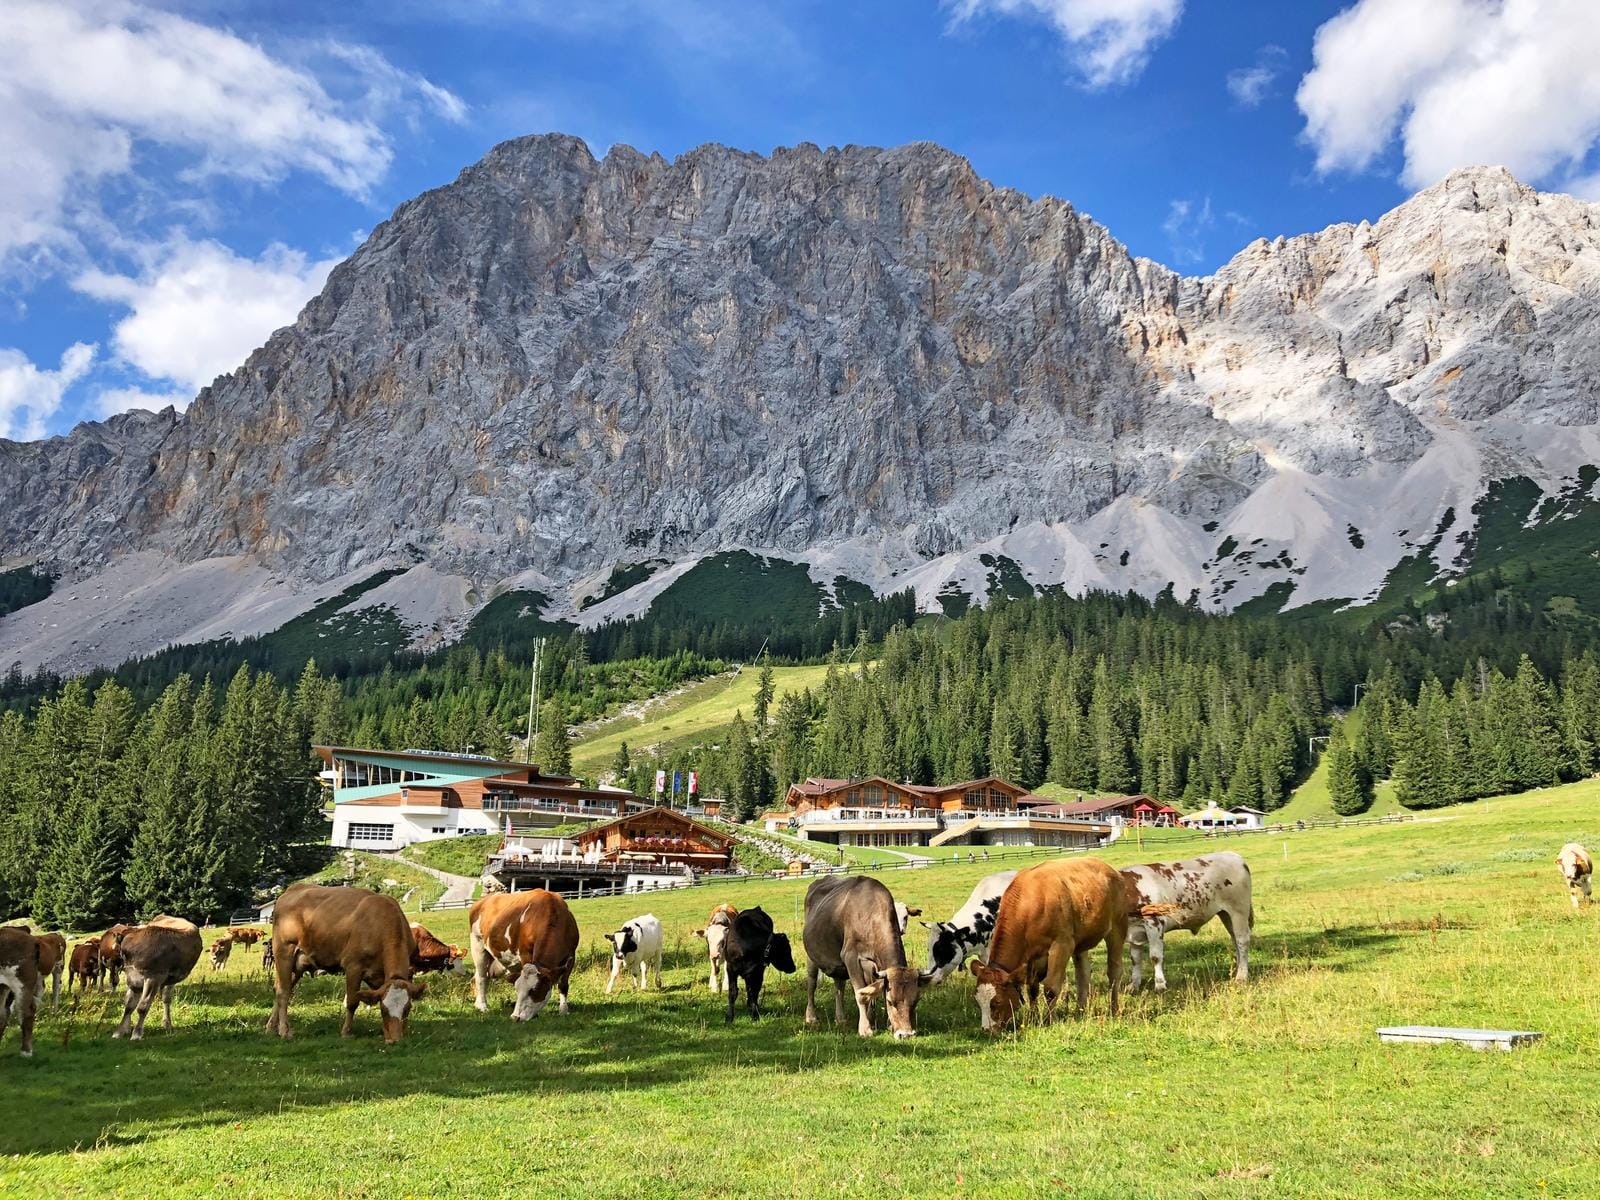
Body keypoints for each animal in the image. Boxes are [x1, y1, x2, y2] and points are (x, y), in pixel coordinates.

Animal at [266, 884, 426, 1043]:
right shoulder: (353, 966)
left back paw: (271, 1027)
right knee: (283, 991)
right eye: (384, 1010)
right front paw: (346, 1032)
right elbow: (352, 1002)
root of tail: (293, 889)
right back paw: (284, 1030)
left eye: (407, 1009)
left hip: (298, 964)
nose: (395, 1040)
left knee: (280, 988)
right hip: (284, 953)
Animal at [469, 890, 579, 1020]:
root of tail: (482, 901)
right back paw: (482, 1006)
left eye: (534, 990)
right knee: (481, 977)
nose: (515, 1017)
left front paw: (563, 1010)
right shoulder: (524, 954)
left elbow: (563, 985)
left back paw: (477, 1004)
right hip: (478, 945)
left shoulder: (571, 955)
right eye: (517, 989)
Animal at [803, 876, 929, 1039]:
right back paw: (811, 1017)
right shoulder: (851, 957)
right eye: (890, 1001)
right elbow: (861, 994)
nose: (906, 1034)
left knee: (839, 987)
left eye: (916, 1000)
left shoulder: (874, 967)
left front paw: (880, 1023)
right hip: (812, 956)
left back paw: (841, 1018)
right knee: (812, 984)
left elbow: (872, 994)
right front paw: (865, 1028)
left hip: (838, 964)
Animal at [969, 858, 1131, 1034]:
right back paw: (1079, 1010)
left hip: (1117, 927)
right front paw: (1033, 1018)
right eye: (978, 1000)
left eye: (997, 1001)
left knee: (1114, 972)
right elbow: (1032, 989)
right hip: (1080, 941)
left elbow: (1050, 988)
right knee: (1083, 974)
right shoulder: (1032, 957)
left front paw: (1048, 1020)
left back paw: (1114, 1009)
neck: (1030, 905)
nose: (986, 1030)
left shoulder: (1062, 945)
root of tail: (1110, 870)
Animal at [1121, 852, 1253, 992]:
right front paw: (1133, 985)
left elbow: (1155, 957)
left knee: (1242, 940)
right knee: (1235, 939)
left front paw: (1160, 985)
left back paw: (1241, 977)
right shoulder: (1134, 931)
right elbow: (1135, 959)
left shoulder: (1154, 924)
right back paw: (1239, 971)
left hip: (1239, 910)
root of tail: (1234, 855)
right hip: (1226, 914)